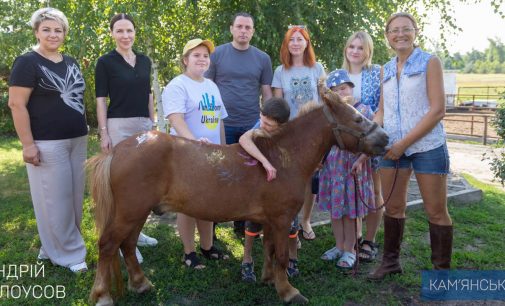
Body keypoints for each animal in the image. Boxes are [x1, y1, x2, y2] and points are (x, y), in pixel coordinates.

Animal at [86, 82, 388, 304]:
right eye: (358, 118)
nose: (385, 138)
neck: (281, 158)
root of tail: (119, 149)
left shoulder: (271, 220)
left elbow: (269, 250)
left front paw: (269, 280)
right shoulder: (281, 219)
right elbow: (280, 255)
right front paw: (288, 292)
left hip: (137, 213)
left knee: (127, 245)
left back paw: (140, 283)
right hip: (130, 213)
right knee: (108, 245)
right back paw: (102, 295)